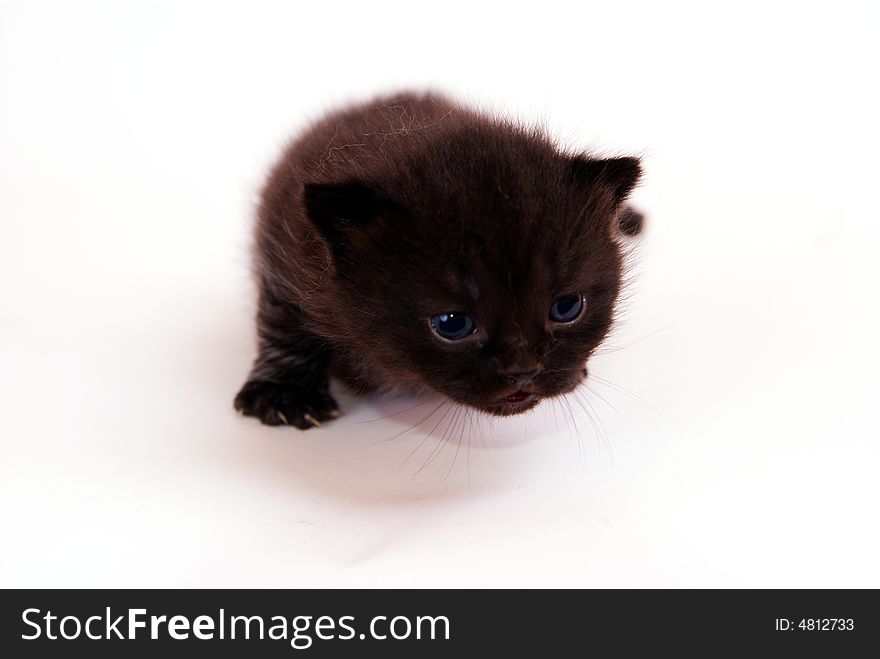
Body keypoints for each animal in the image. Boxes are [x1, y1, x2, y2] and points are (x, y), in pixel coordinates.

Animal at [234, 94, 644, 434]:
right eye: (452, 324)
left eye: (567, 307)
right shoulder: (286, 252)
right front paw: (286, 393)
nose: (523, 371)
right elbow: (283, 325)